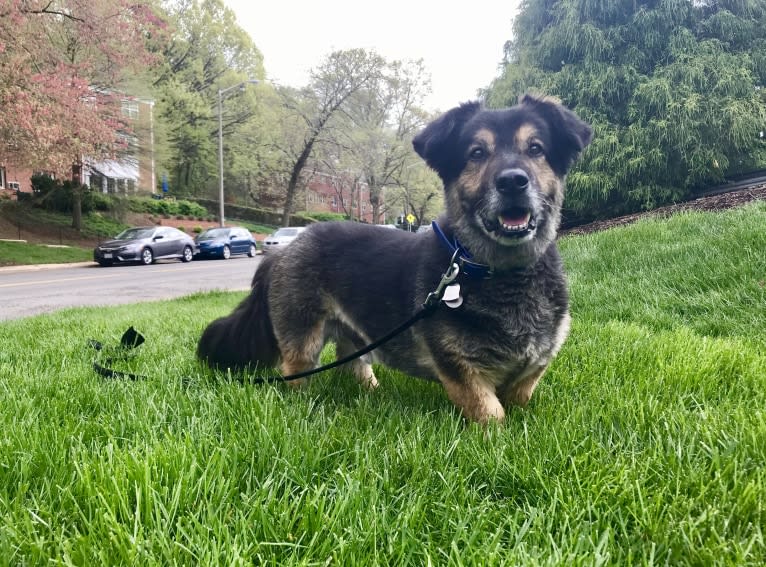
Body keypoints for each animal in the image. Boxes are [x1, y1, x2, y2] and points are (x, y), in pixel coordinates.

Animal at [200, 94, 592, 422]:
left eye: (536, 149)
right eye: (477, 153)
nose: (512, 181)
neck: (498, 271)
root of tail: (284, 249)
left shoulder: (533, 367)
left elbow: (522, 393)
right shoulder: (462, 372)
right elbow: (491, 415)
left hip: (355, 336)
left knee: (354, 365)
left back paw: (372, 393)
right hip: (303, 340)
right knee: (296, 374)